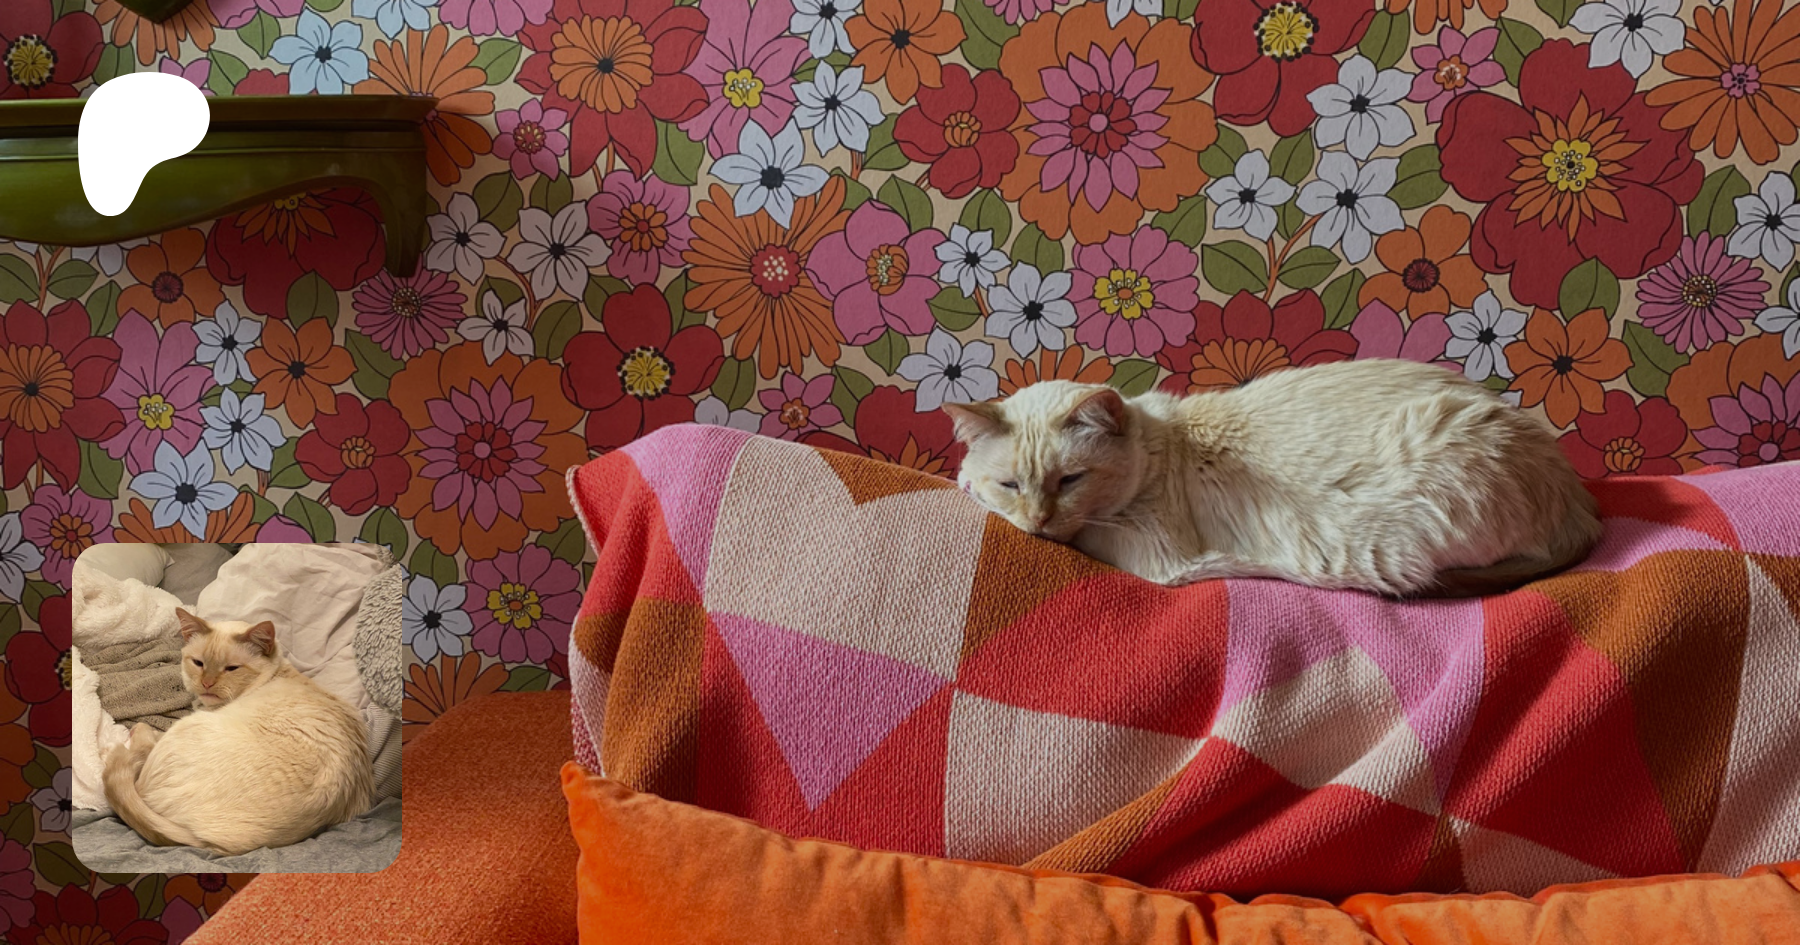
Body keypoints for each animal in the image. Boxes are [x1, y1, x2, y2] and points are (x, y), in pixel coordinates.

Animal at [944, 359, 1603, 598]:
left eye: (1070, 481)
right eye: (1012, 485)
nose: (1038, 522)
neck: (1158, 446)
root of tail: (1583, 507)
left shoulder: (1147, 549)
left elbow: (1085, 533)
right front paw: (967, 483)